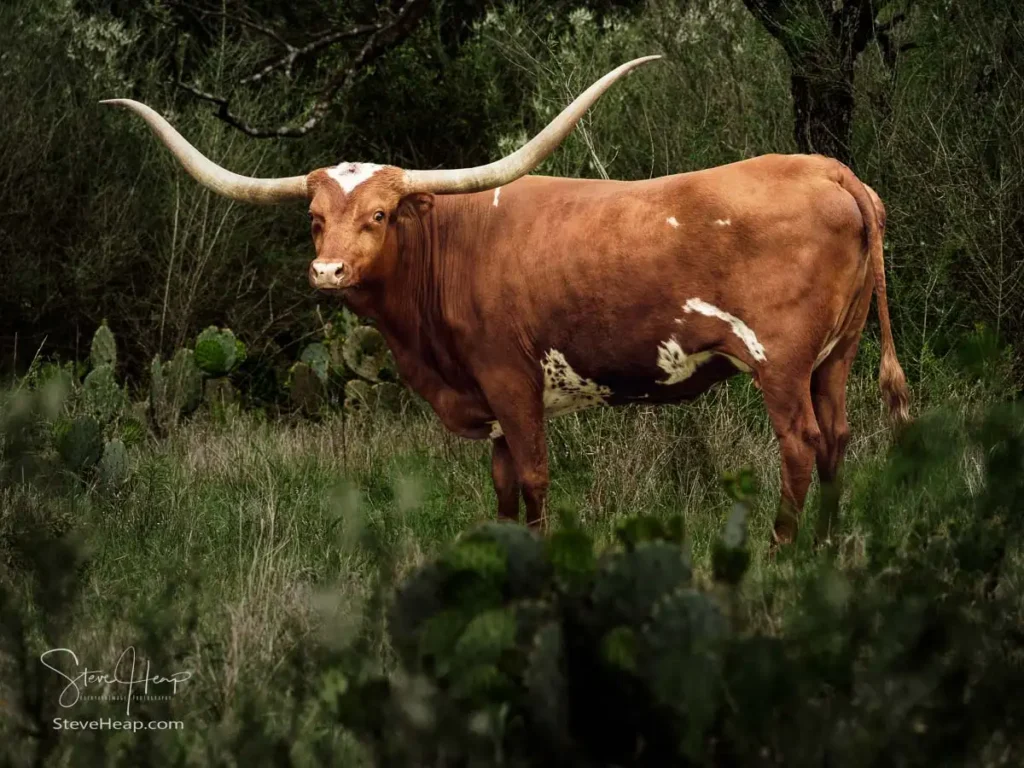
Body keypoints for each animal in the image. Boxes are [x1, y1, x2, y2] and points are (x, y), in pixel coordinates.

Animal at [102, 55, 910, 548]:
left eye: (381, 215)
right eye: (314, 218)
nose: (327, 272)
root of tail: (830, 168)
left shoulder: (511, 381)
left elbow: (534, 478)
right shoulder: (486, 399)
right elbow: (501, 490)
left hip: (781, 363)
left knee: (800, 444)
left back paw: (780, 548)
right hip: (834, 357)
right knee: (837, 439)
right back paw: (827, 546)